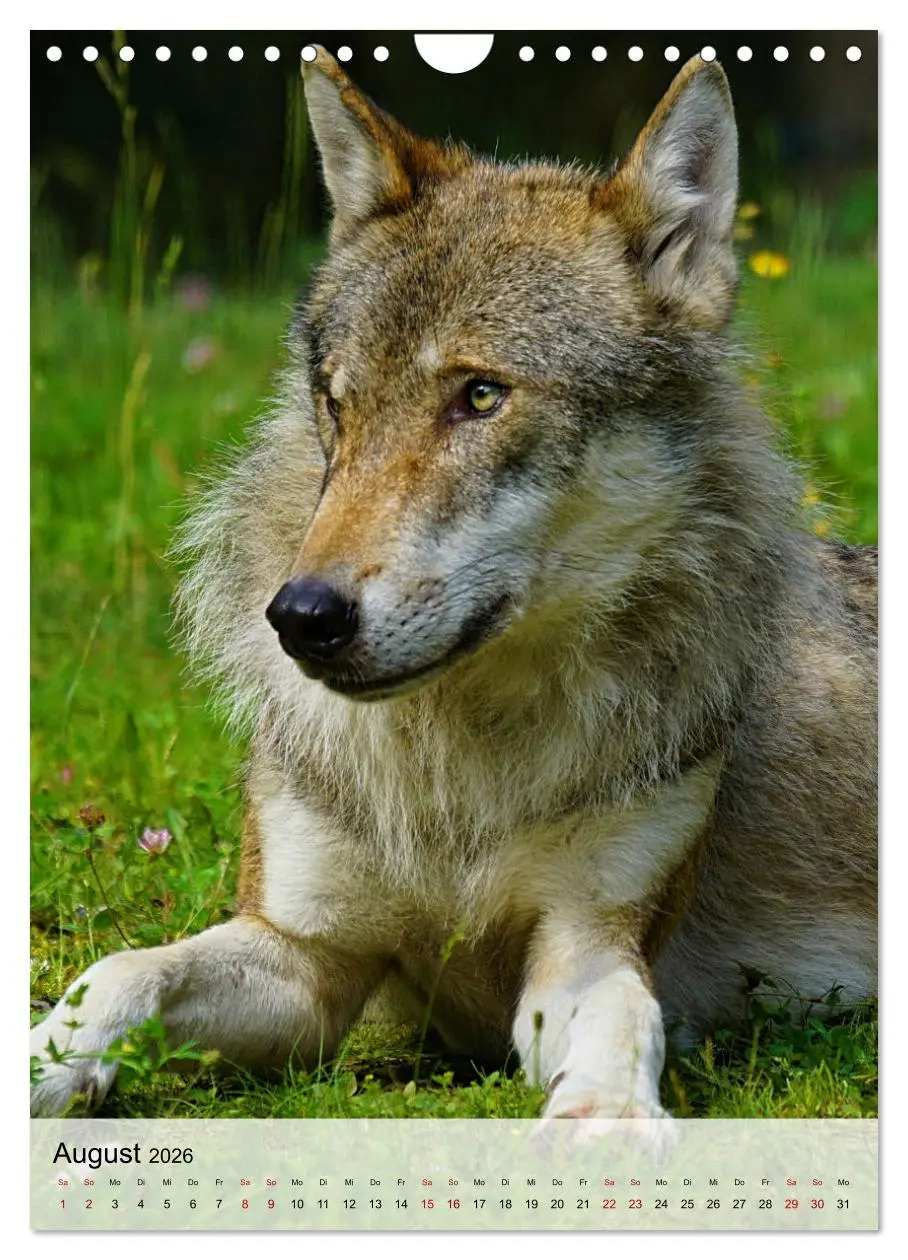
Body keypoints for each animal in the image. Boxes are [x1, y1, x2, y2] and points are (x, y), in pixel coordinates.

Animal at [31, 49, 877, 1120]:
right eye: (337, 406)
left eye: (480, 396)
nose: (300, 618)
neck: (458, 780)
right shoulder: (306, 958)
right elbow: (120, 974)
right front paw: (40, 1069)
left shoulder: (586, 943)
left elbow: (623, 1021)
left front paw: (605, 1122)